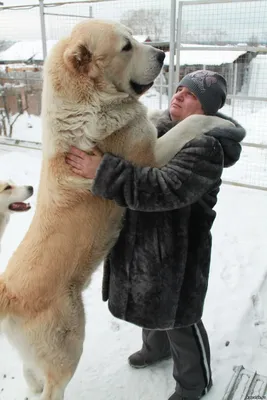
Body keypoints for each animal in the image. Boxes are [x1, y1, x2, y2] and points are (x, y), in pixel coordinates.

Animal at [0, 21, 232, 400]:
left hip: (36, 357)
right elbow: (188, 125)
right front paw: (220, 122)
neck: (88, 101)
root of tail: (9, 293)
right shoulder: (151, 157)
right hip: (68, 348)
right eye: (126, 47)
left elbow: (162, 117)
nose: (161, 55)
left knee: (30, 380)